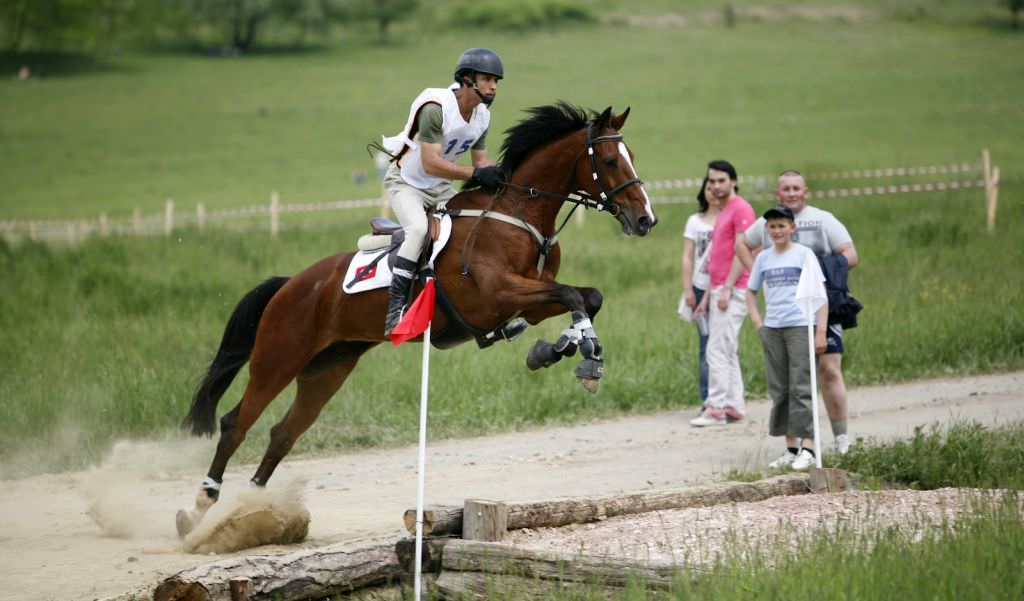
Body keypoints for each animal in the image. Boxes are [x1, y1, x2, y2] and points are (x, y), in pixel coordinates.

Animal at [176, 102, 655, 536]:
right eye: (610, 161)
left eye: (631, 155)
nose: (645, 219)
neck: (519, 213)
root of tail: (290, 284)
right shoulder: (499, 295)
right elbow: (574, 294)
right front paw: (580, 356)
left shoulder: (530, 302)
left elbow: (588, 297)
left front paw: (565, 350)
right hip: (279, 357)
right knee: (236, 424)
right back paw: (199, 512)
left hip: (327, 368)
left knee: (282, 434)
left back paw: (254, 511)